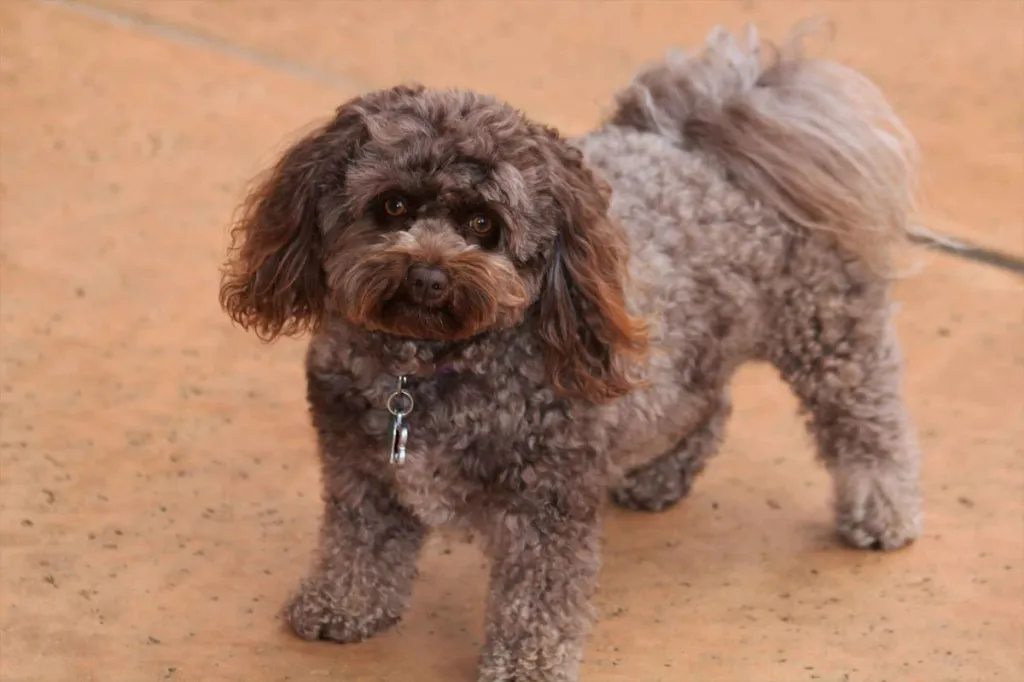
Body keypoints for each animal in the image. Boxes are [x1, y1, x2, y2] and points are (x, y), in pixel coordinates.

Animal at [216, 25, 921, 679]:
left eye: (483, 224)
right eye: (392, 205)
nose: (429, 276)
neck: (428, 369)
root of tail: (720, 133)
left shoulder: (548, 502)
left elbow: (538, 597)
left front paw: (526, 665)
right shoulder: (361, 472)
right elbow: (358, 545)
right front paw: (343, 605)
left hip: (831, 338)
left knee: (868, 425)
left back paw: (882, 511)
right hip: (691, 352)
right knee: (707, 407)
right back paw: (659, 476)